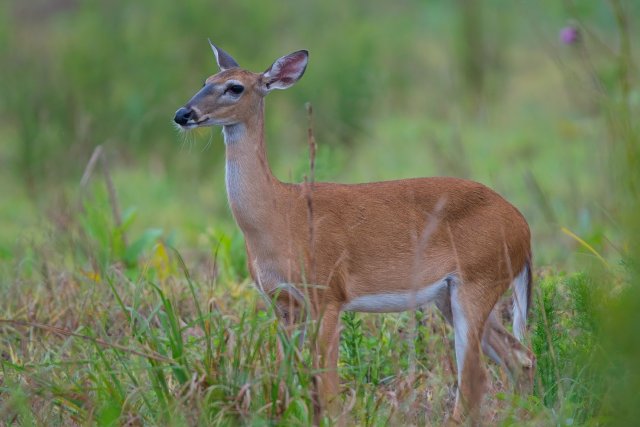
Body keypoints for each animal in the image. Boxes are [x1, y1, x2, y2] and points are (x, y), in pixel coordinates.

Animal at [174, 41, 535, 425]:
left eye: (235, 87)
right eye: (205, 80)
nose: (183, 114)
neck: (279, 215)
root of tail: (524, 228)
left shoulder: (329, 294)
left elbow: (328, 390)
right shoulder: (283, 303)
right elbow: (287, 381)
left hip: (477, 281)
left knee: (476, 379)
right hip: (451, 294)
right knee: (520, 357)